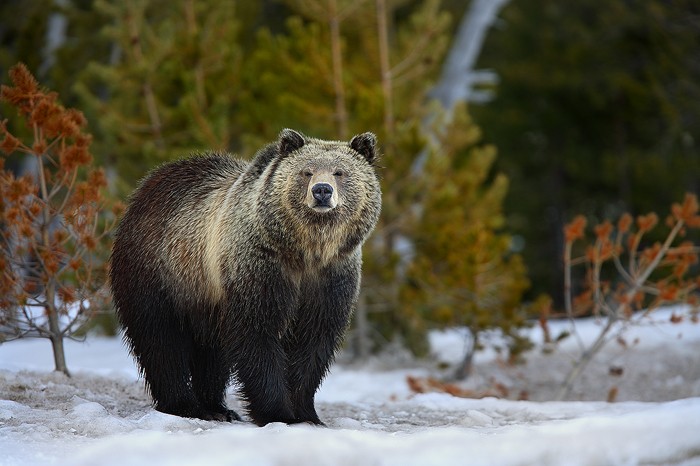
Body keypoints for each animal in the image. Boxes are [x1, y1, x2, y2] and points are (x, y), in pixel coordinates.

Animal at [110, 128, 382, 426]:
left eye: (339, 172)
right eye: (306, 172)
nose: (322, 190)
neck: (306, 251)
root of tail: (149, 183)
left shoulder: (331, 278)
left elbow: (314, 342)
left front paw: (307, 414)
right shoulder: (259, 267)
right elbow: (257, 335)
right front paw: (278, 413)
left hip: (204, 298)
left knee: (211, 354)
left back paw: (217, 407)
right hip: (161, 275)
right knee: (161, 342)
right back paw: (184, 405)